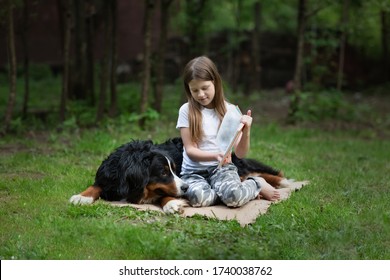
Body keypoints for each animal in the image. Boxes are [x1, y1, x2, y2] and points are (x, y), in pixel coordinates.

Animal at [69, 137, 290, 213]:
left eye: (175, 170)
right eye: (163, 172)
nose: (186, 187)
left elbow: (164, 194)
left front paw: (172, 203)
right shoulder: (109, 175)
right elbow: (97, 184)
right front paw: (82, 196)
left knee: (252, 174)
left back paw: (279, 182)